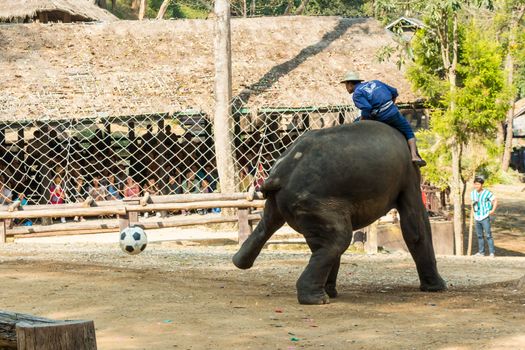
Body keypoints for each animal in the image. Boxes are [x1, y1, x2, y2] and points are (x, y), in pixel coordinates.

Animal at [233, 120, 446, 304]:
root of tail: (280, 173)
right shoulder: (409, 173)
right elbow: (415, 227)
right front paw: (438, 288)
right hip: (315, 203)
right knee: (338, 239)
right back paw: (317, 299)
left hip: (293, 203)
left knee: (273, 224)